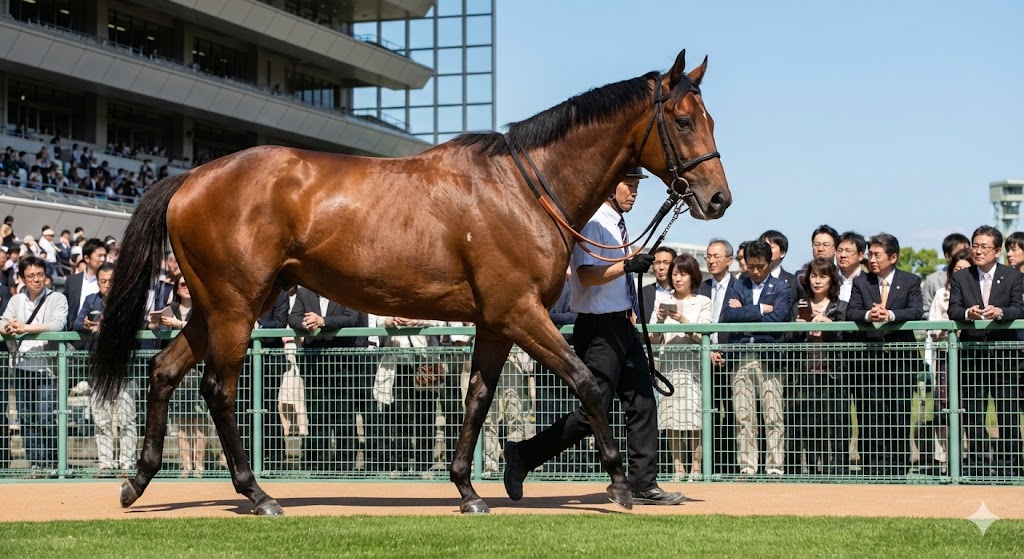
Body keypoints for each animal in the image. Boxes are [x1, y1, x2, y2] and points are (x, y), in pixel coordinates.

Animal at [90, 48, 730, 515]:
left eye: (709, 118)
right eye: (682, 120)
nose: (718, 199)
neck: (524, 188)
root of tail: (191, 177)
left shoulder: (495, 322)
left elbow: (476, 399)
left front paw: (469, 490)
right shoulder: (521, 312)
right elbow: (588, 385)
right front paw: (620, 484)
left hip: (212, 307)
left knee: (163, 371)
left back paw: (137, 482)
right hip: (234, 309)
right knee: (217, 391)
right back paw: (257, 493)